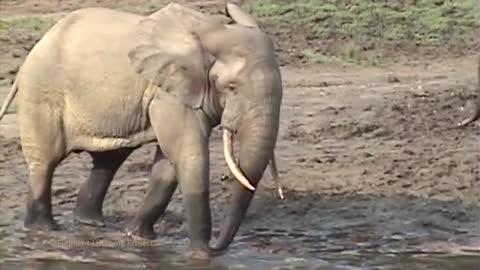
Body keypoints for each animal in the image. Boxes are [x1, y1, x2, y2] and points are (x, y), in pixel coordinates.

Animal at [0, 2, 284, 255]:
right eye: (232, 88)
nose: (218, 246)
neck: (213, 33)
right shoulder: (167, 93)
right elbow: (189, 156)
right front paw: (200, 254)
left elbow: (168, 166)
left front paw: (138, 237)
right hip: (41, 92)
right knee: (45, 163)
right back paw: (43, 231)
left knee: (108, 161)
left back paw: (90, 223)